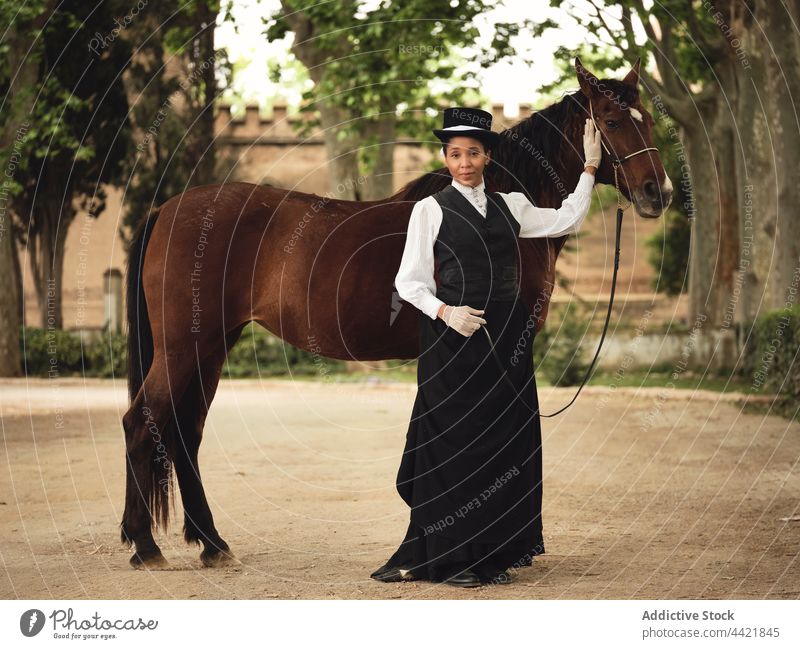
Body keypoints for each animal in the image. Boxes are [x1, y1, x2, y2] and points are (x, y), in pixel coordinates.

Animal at [122, 59, 672, 568]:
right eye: (611, 120)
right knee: (142, 423)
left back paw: (212, 545)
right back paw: (146, 546)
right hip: (185, 347)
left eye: (646, 119)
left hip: (212, 346)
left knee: (185, 433)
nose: (659, 193)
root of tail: (166, 210)